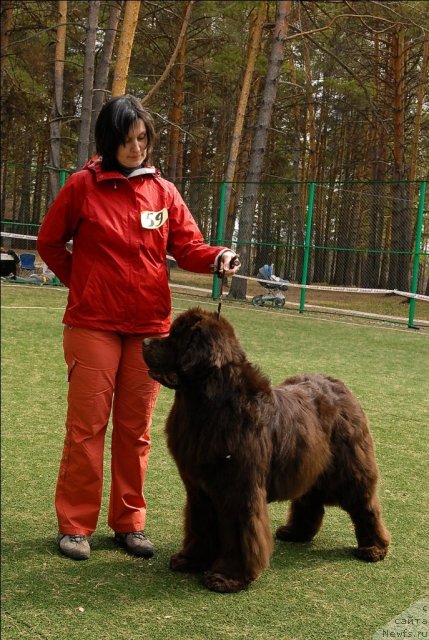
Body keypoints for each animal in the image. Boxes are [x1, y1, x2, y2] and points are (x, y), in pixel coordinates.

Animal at [142, 308, 390, 592]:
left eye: (176, 338)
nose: (144, 342)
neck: (207, 406)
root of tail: (342, 387)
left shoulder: (238, 490)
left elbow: (239, 534)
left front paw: (227, 577)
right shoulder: (199, 491)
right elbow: (200, 525)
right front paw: (191, 560)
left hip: (349, 469)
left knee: (365, 505)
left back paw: (374, 548)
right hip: (307, 462)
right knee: (310, 499)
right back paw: (296, 533)